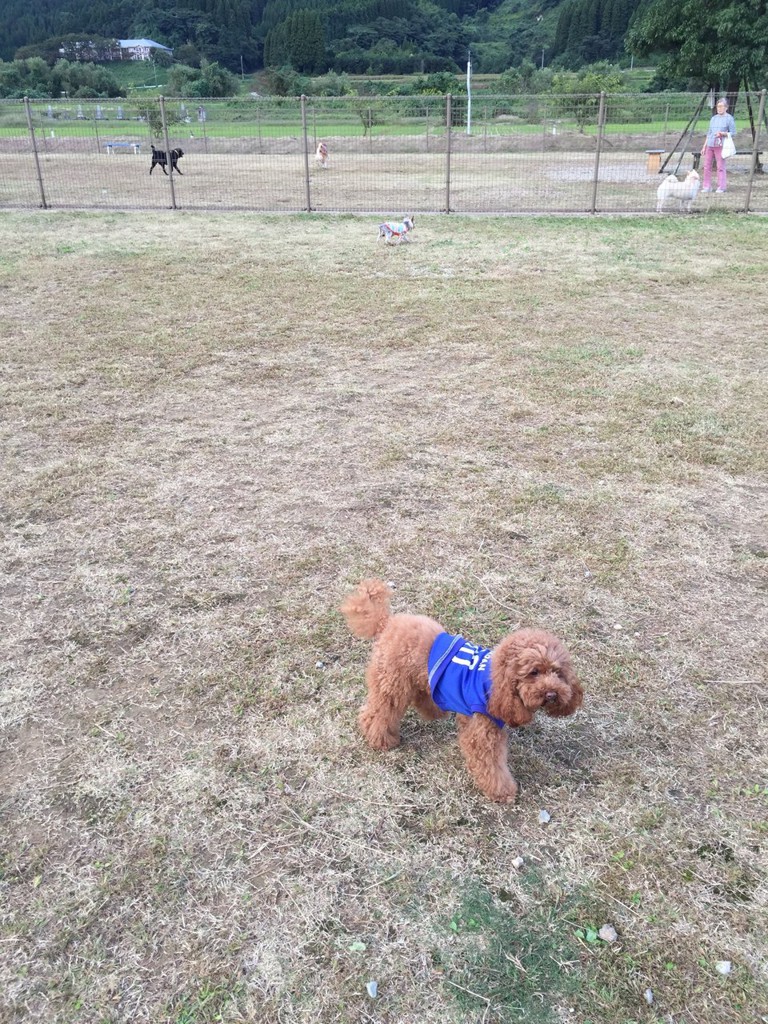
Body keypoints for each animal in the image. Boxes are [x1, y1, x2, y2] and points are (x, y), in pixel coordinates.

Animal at [342, 581, 581, 802]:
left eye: (557, 672)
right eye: (533, 672)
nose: (552, 694)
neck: (494, 682)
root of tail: (387, 622)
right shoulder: (482, 731)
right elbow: (490, 764)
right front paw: (503, 792)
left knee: (420, 695)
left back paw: (435, 711)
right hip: (392, 681)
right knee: (379, 712)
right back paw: (382, 740)